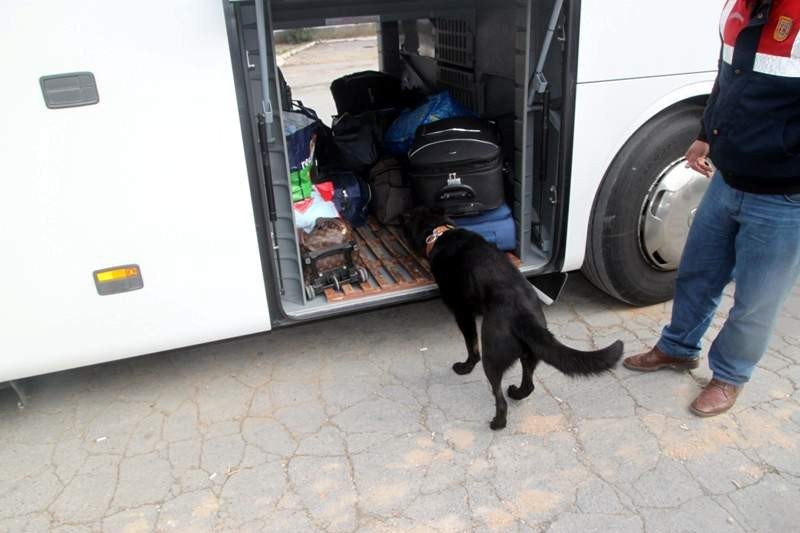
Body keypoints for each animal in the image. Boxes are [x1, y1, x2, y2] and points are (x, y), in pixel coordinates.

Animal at [406, 206, 624, 430]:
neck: (440, 232)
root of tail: (524, 316)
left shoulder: (462, 313)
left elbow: (472, 347)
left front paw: (465, 367)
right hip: (530, 354)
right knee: (529, 385)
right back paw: (516, 393)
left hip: (492, 356)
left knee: (499, 397)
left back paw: (497, 422)